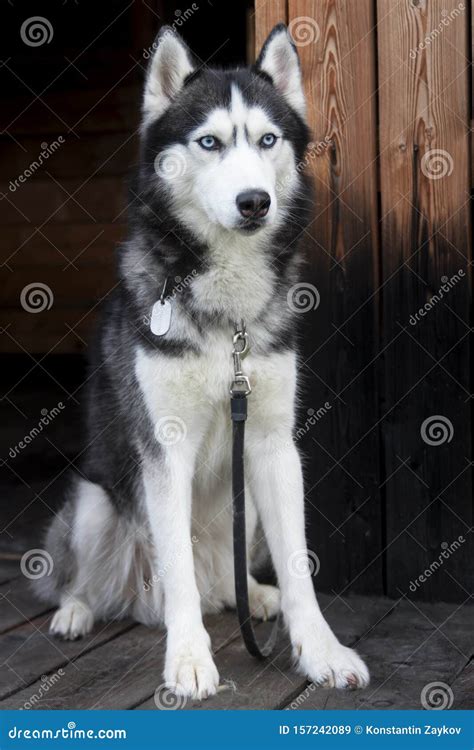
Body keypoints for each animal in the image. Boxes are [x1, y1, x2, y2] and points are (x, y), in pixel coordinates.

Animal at [39, 26, 368, 704]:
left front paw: (321, 652)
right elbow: (180, 573)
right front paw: (189, 660)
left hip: (248, 514)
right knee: (91, 578)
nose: (254, 202)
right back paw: (77, 610)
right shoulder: (165, 447)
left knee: (224, 584)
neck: (229, 315)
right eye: (209, 142)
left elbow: (300, 568)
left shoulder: (273, 444)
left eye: (267, 140)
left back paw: (257, 597)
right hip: (94, 501)